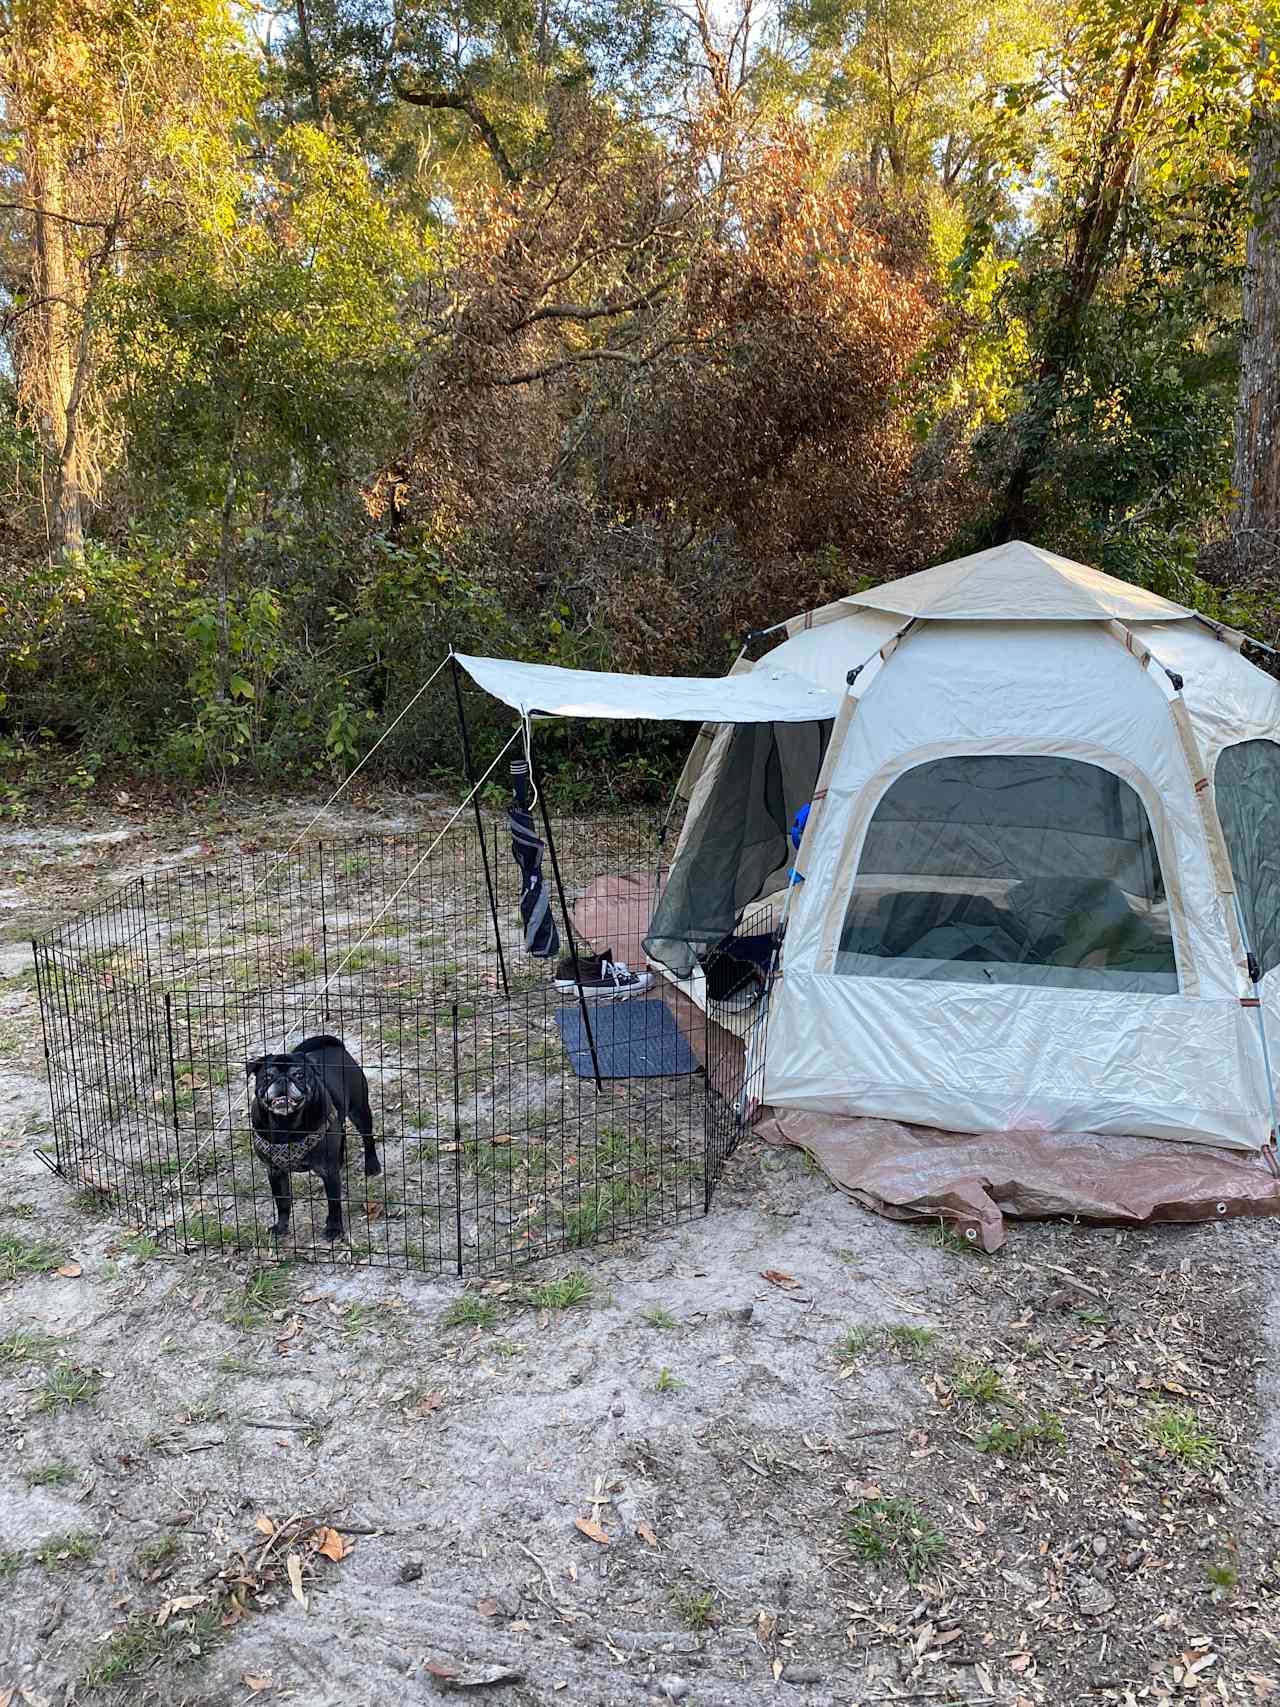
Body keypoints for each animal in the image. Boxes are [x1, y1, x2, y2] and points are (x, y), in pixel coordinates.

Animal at [242, 1037, 378, 1242]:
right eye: (267, 1077)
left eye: (299, 1075)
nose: (282, 1080)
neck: (286, 1123)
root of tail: (335, 1046)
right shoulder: (274, 1171)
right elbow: (282, 1202)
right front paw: (281, 1227)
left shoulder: (328, 1172)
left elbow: (334, 1204)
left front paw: (334, 1229)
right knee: (341, 1132)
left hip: (360, 1110)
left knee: (368, 1138)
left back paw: (372, 1165)